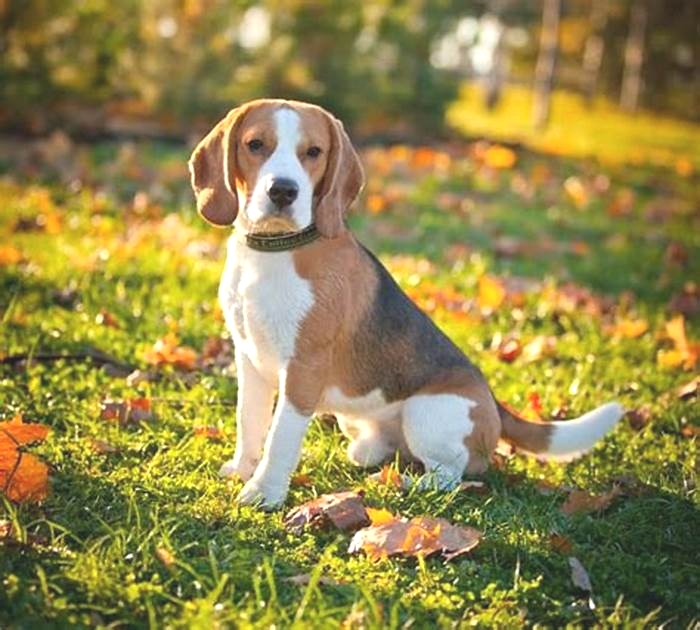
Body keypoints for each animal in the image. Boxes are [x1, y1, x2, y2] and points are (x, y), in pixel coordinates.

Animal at [187, 100, 624, 512]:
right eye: (255, 145)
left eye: (313, 152)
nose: (283, 191)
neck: (274, 251)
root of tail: (493, 404)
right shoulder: (249, 358)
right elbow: (249, 421)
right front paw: (241, 469)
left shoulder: (303, 368)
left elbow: (280, 436)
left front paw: (264, 492)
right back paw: (370, 454)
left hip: (426, 412)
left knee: (453, 475)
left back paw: (408, 483)